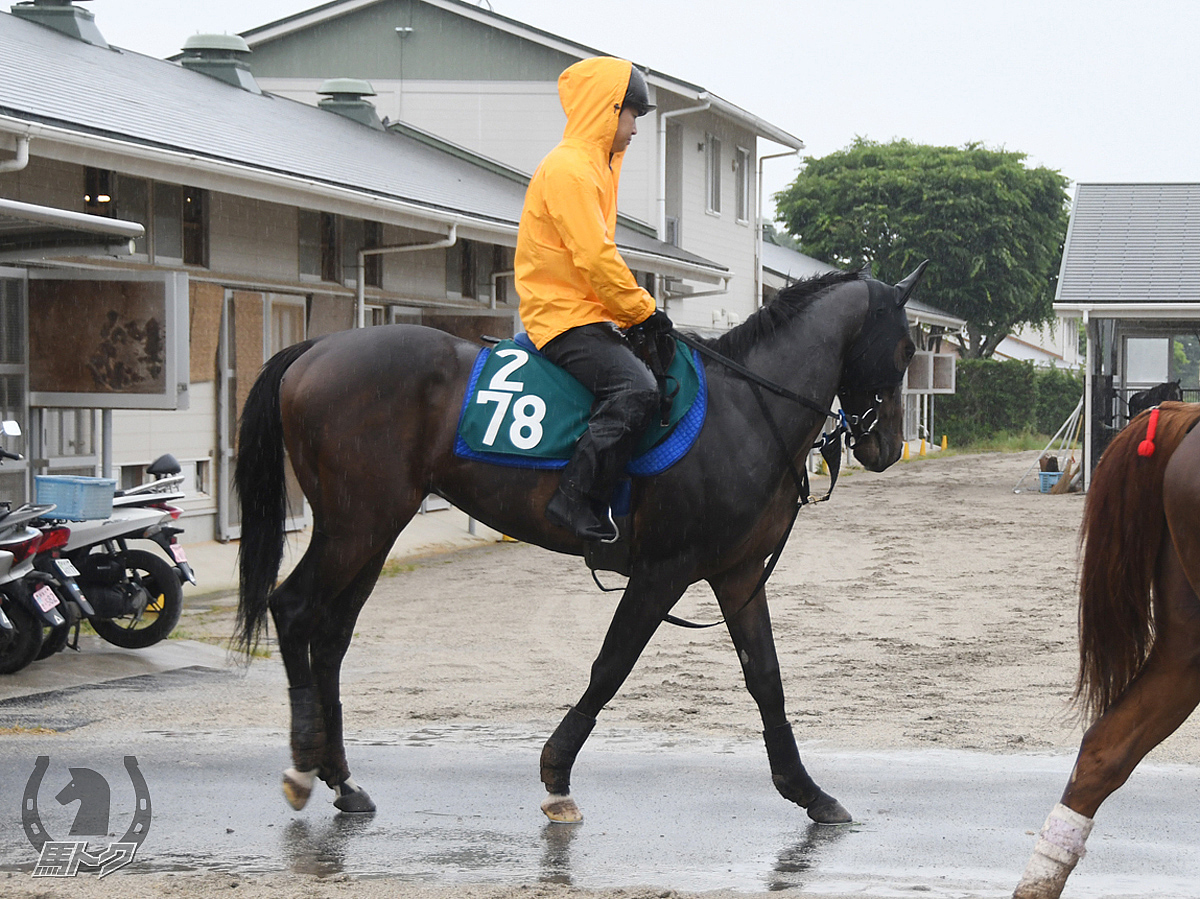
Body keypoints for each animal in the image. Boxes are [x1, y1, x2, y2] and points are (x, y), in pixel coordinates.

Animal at [236, 262, 926, 825]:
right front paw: (556, 775)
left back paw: (342, 782)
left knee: (331, 636)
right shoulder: (664, 571)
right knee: (294, 610)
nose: (887, 446)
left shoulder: (735, 573)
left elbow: (767, 678)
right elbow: (611, 666)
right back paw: (303, 768)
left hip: (372, 530)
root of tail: (318, 347)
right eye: (906, 346)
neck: (745, 409)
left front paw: (808, 791)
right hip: (355, 526)